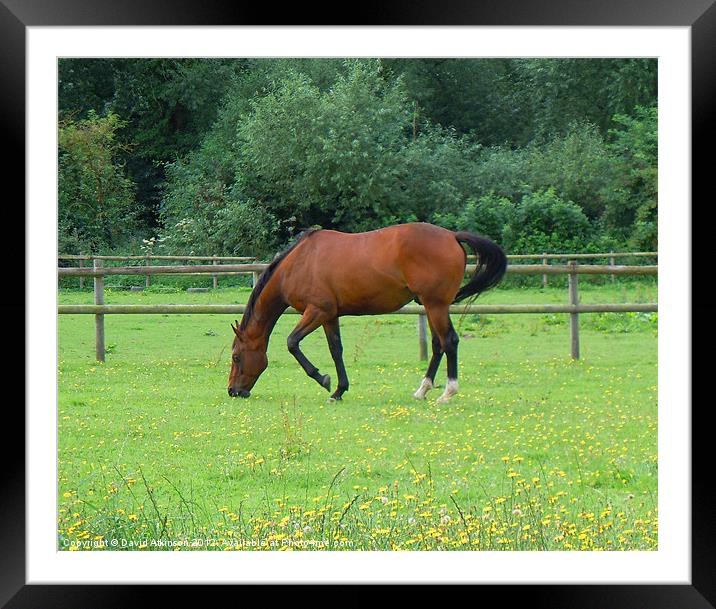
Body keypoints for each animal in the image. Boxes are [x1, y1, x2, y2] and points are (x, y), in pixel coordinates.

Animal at [227, 221, 506, 402]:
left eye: (237, 357)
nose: (233, 391)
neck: (298, 263)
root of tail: (452, 236)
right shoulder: (330, 315)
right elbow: (336, 350)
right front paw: (339, 390)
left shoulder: (316, 311)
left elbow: (292, 343)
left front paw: (322, 378)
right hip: (432, 306)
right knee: (438, 345)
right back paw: (422, 390)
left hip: (435, 304)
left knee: (449, 341)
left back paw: (448, 392)